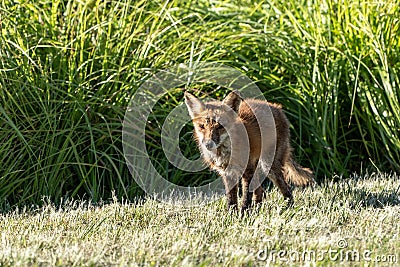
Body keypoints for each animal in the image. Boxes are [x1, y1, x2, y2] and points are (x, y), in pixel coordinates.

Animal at [184, 91, 316, 213]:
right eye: (202, 126)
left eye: (220, 127)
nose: (208, 144)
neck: (226, 153)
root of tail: (277, 108)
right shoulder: (228, 173)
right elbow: (231, 199)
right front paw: (231, 215)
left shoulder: (247, 170)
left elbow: (246, 197)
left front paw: (243, 214)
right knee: (260, 192)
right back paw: (258, 209)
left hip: (269, 167)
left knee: (287, 190)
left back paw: (288, 209)